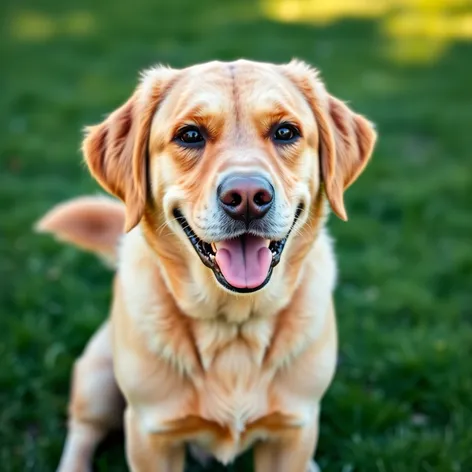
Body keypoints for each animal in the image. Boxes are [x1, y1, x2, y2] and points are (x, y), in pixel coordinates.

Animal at [36, 60, 376, 472]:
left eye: (285, 131)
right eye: (190, 135)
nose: (247, 197)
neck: (234, 325)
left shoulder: (293, 430)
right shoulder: (151, 436)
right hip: (97, 379)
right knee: (82, 431)